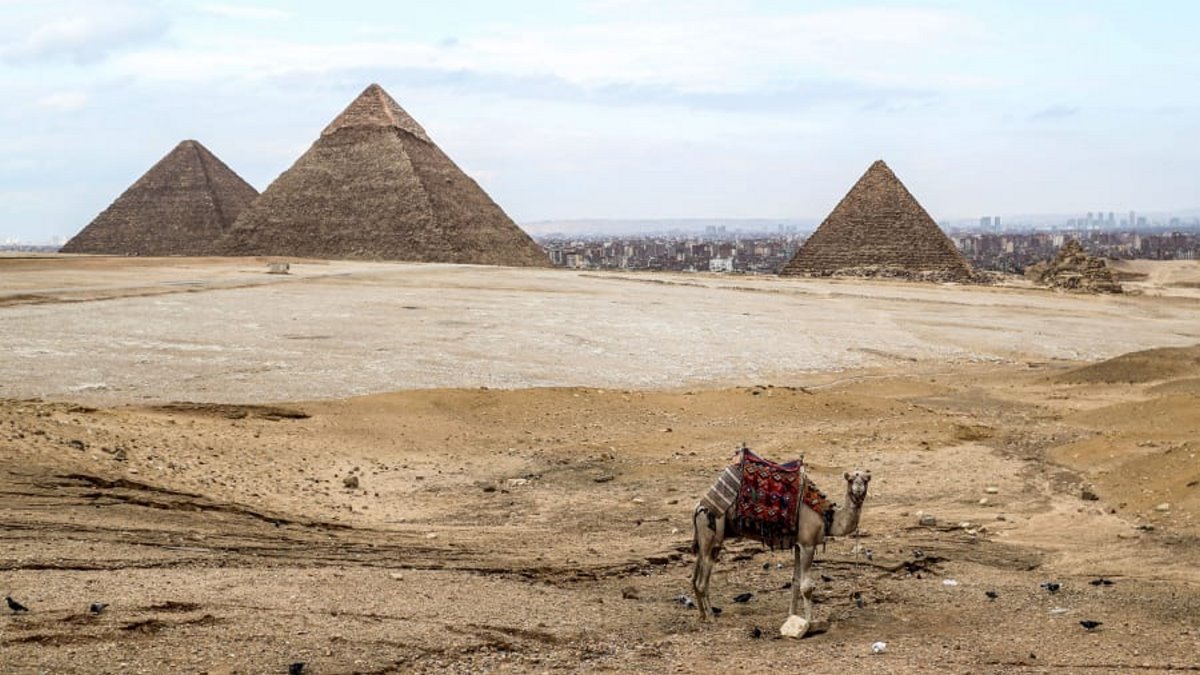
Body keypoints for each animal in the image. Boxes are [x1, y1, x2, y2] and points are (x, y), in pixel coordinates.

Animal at [696, 451, 873, 634]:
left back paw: (702, 615)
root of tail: (700, 506)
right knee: (703, 577)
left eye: (866, 480)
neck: (827, 517)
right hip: (712, 531)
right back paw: (710, 616)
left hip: (708, 538)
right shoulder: (808, 545)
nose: (858, 491)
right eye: (850, 479)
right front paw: (811, 622)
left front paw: (792, 616)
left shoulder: (798, 545)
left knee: (698, 573)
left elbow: (794, 581)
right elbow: (806, 587)